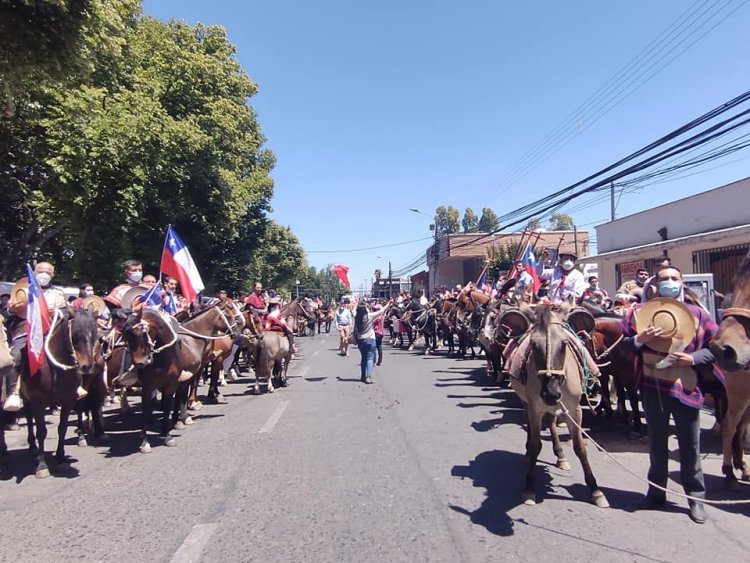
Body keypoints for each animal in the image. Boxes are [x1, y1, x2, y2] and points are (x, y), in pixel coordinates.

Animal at [22, 306, 99, 478]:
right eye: (76, 334)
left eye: (95, 333)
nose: (87, 366)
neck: (56, 368)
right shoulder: (38, 402)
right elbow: (41, 431)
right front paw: (42, 465)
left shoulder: (68, 400)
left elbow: (62, 428)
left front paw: (61, 456)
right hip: (26, 397)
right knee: (29, 419)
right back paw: (32, 446)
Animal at [512, 306, 612, 508]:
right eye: (533, 344)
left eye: (565, 344)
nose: (550, 393)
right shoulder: (535, 408)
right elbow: (536, 445)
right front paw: (529, 487)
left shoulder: (575, 410)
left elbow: (580, 447)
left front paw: (595, 490)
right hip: (527, 402)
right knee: (529, 423)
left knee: (551, 423)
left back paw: (560, 456)